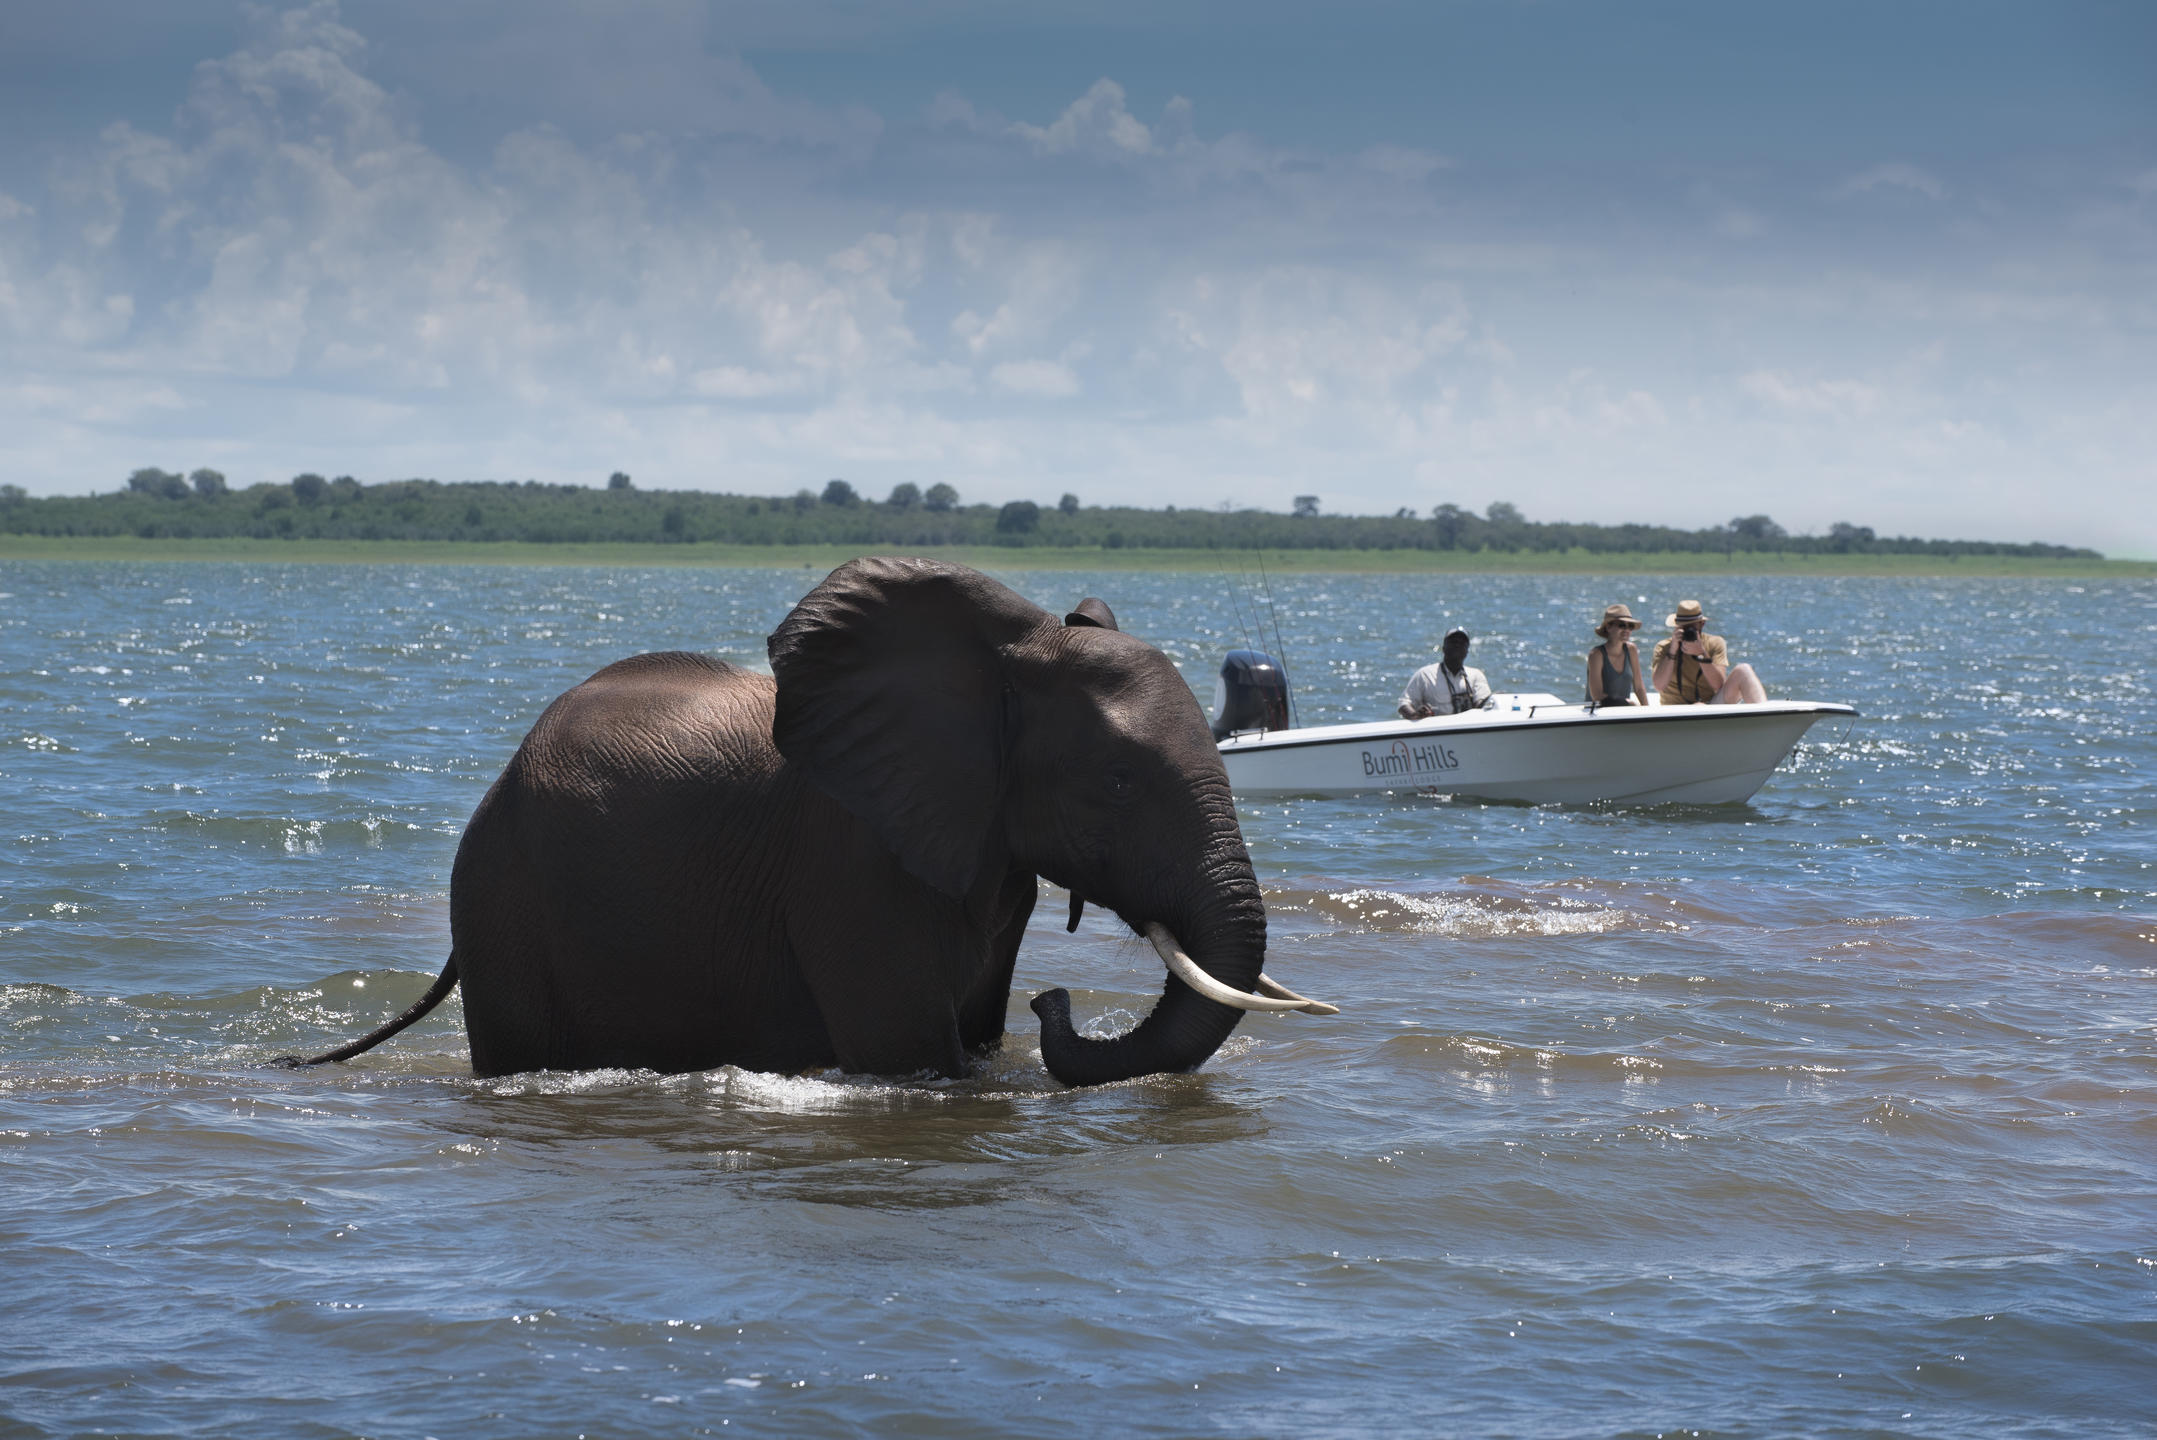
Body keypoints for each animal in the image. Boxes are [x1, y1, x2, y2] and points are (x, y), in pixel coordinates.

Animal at [286, 556, 1328, 1086]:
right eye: (1116, 782)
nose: (1055, 1002)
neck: (1001, 656)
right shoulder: (849, 861)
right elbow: (911, 1053)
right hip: (505, 902)